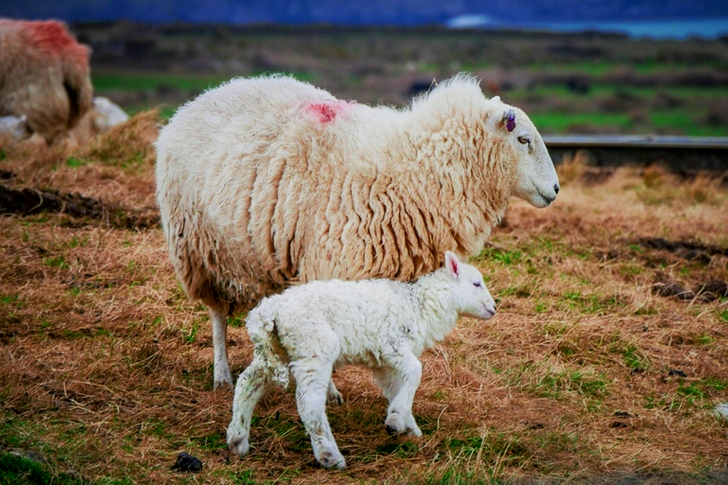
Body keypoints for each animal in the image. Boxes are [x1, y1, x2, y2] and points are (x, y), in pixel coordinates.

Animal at [155, 74, 559, 389]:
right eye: (523, 139)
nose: (555, 190)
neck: (414, 169)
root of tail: (199, 100)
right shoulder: (334, 266)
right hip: (199, 249)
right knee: (218, 316)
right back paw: (222, 374)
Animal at [226, 251, 496, 469]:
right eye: (476, 283)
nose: (494, 308)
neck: (419, 304)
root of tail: (270, 309)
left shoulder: (383, 363)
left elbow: (395, 387)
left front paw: (407, 425)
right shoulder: (391, 345)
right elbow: (416, 371)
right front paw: (396, 420)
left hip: (275, 349)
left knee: (248, 382)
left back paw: (238, 438)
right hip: (313, 347)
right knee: (309, 403)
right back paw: (330, 456)